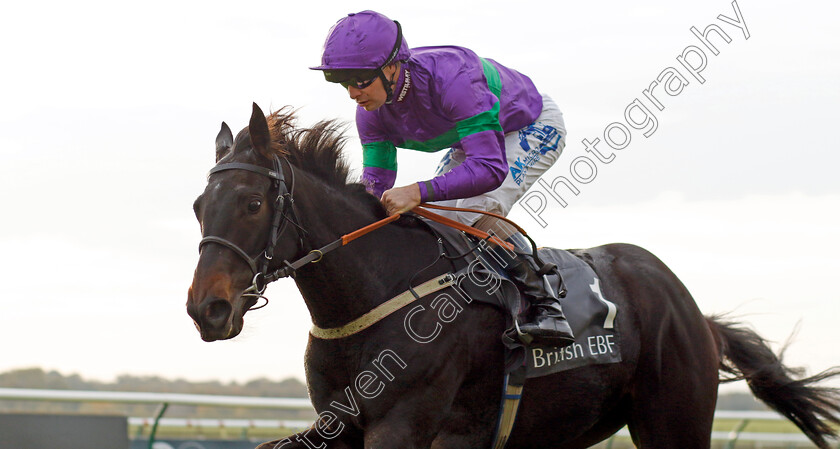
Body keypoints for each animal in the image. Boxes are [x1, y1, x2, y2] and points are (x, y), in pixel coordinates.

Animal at [190, 103, 840, 446]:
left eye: (252, 203)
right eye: (198, 206)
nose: (206, 309)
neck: (376, 297)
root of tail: (695, 313)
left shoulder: (403, 426)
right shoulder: (339, 426)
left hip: (672, 421)